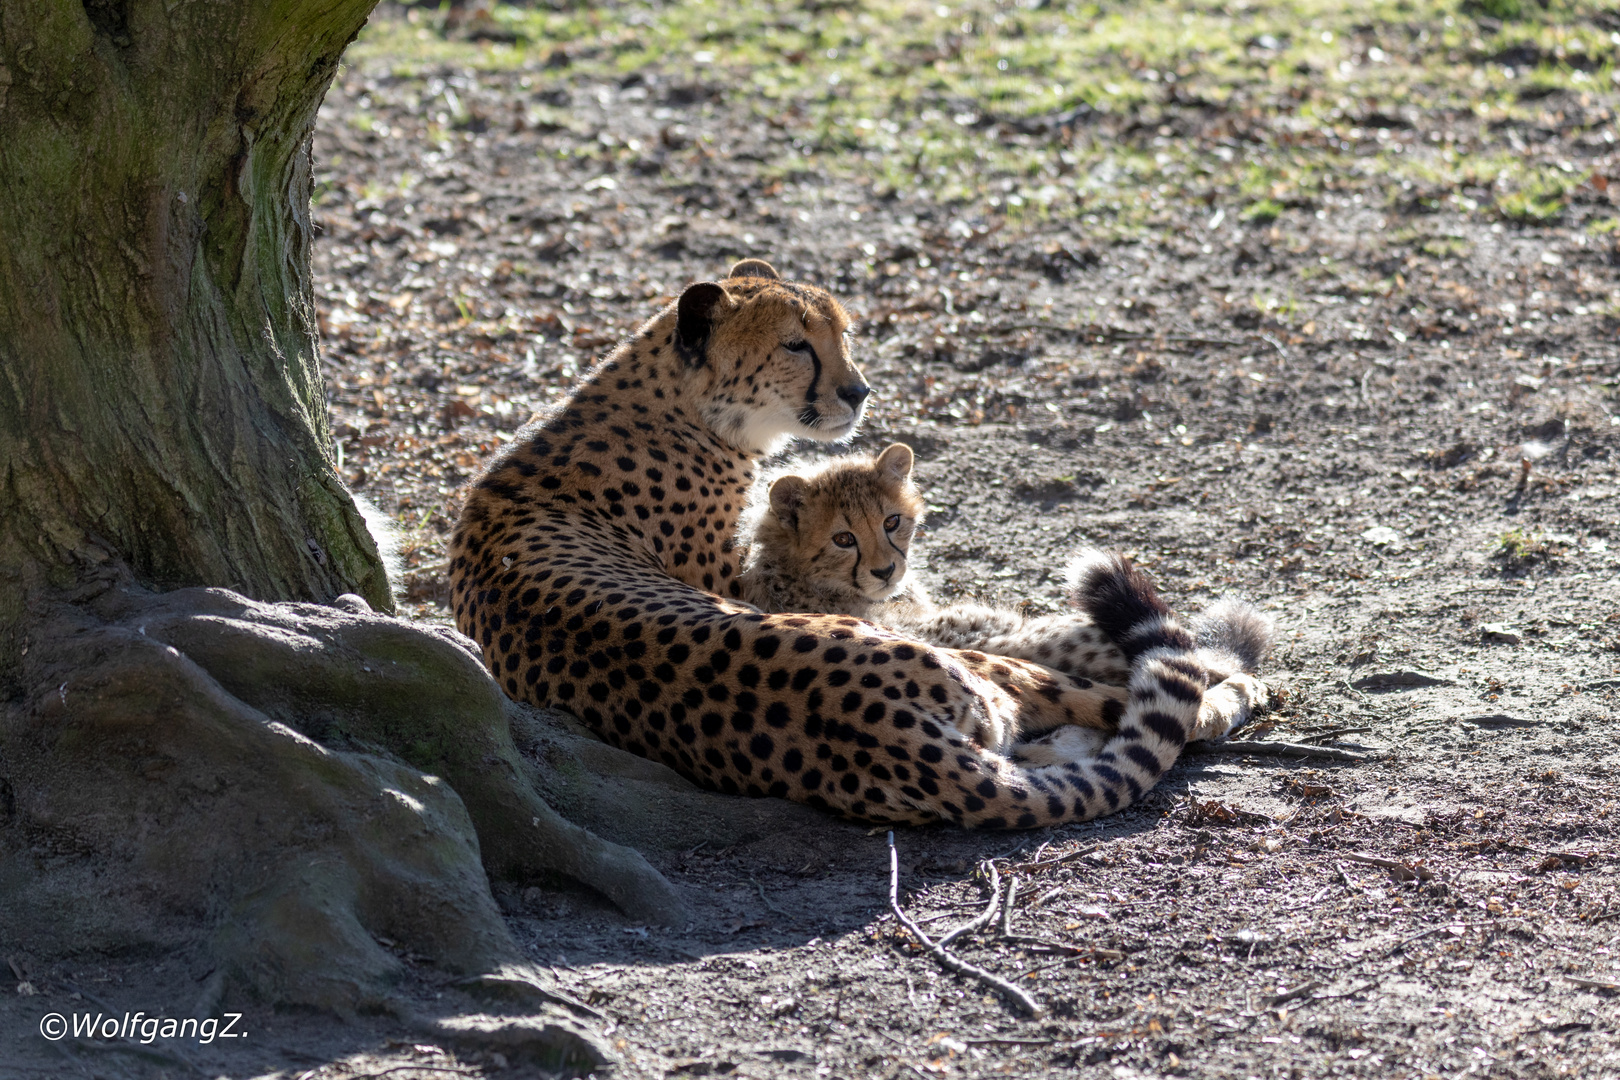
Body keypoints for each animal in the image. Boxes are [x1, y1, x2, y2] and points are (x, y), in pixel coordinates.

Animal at [456, 259, 1218, 829]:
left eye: (844, 333)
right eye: (796, 345)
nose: (858, 392)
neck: (683, 408)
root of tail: (891, 739)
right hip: (967, 671)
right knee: (1137, 703)